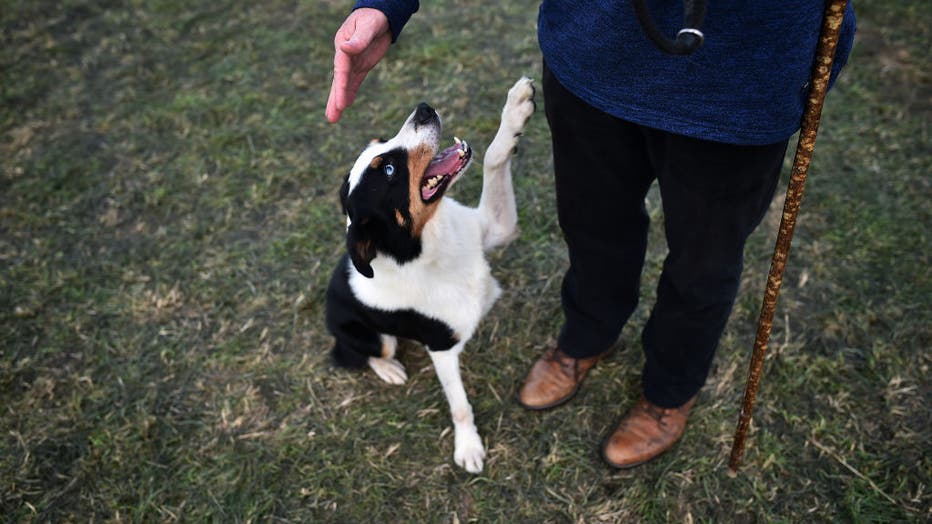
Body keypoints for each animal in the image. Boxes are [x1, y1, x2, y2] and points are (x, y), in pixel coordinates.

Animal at [326, 78, 532, 474]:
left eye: (379, 142)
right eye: (389, 170)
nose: (423, 109)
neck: (430, 245)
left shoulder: (497, 228)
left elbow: (493, 157)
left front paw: (517, 106)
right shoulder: (441, 347)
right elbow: (460, 405)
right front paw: (468, 448)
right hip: (372, 337)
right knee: (361, 353)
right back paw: (389, 369)